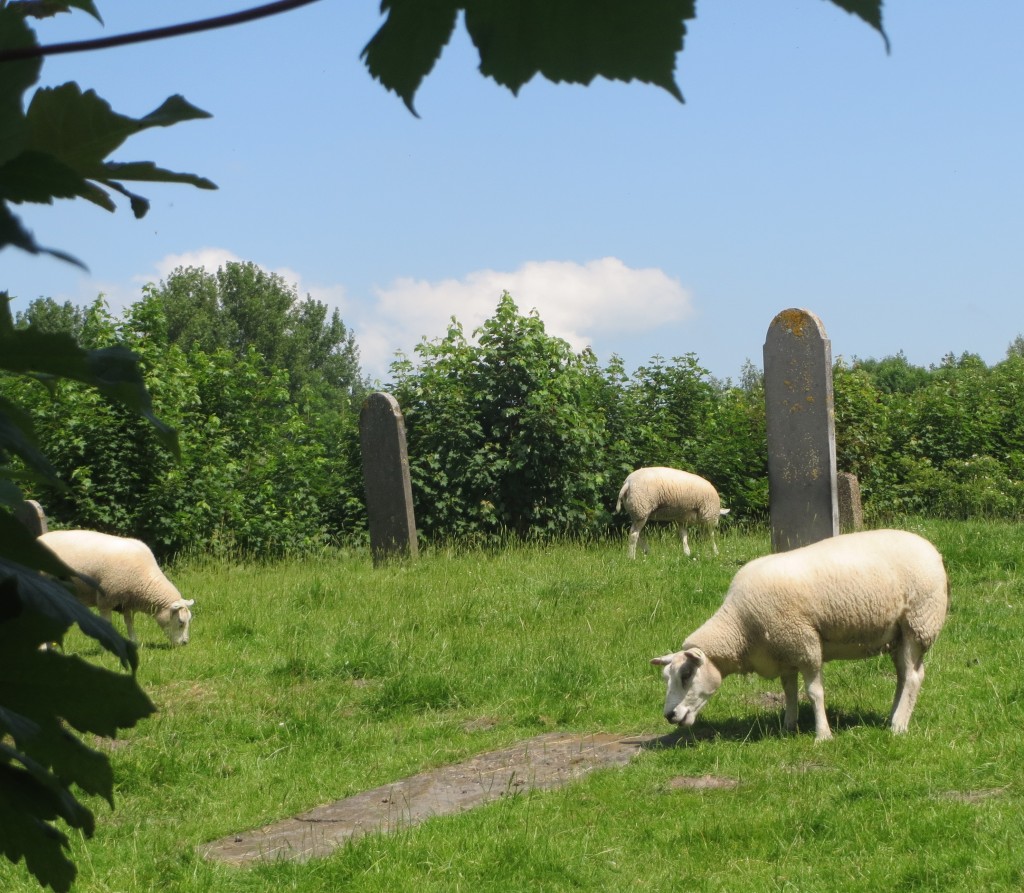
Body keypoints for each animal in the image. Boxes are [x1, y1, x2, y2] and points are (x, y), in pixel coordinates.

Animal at [38, 528, 194, 647]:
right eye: (181, 622)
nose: (185, 643)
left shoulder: (127, 602)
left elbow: (129, 623)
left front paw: (135, 643)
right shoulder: (106, 600)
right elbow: (107, 623)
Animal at [651, 528, 946, 741]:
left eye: (686, 675)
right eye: (667, 676)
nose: (669, 715)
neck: (740, 626)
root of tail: (931, 548)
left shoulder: (805, 645)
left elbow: (814, 692)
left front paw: (823, 735)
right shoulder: (783, 651)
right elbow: (789, 692)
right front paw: (787, 727)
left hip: (918, 623)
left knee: (913, 677)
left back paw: (898, 726)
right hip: (897, 634)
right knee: (903, 676)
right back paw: (893, 716)